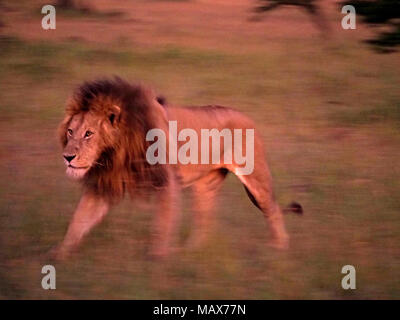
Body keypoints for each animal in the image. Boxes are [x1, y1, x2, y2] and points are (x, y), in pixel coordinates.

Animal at [54, 77, 304, 260]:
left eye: (89, 133)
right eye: (70, 131)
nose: (67, 157)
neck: (116, 152)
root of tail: (248, 117)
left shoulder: (167, 183)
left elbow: (162, 226)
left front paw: (157, 264)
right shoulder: (104, 185)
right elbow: (79, 220)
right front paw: (57, 256)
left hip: (256, 177)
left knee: (272, 210)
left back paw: (278, 250)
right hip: (206, 185)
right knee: (204, 220)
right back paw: (190, 252)